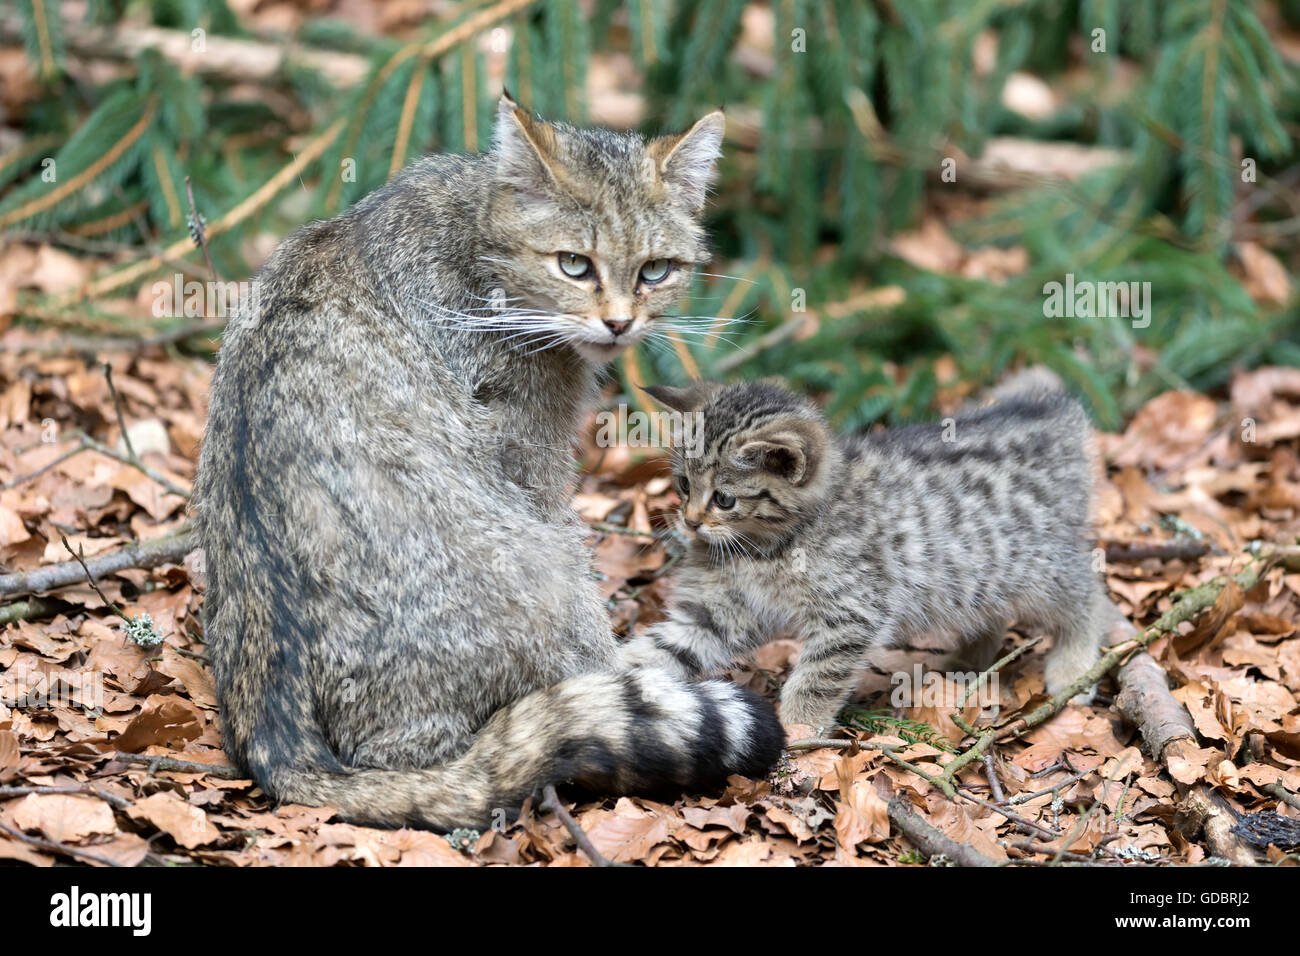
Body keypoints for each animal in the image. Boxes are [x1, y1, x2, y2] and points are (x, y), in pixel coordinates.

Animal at [192, 95, 780, 832]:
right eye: (574, 264)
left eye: (655, 270)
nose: (620, 323)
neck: (477, 230)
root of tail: (276, 741)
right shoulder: (532, 468)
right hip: (539, 579)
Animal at [616, 382, 1118, 733]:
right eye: (683, 485)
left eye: (724, 498)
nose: (690, 522)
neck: (764, 546)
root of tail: (1055, 420)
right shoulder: (713, 612)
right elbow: (662, 647)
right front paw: (607, 684)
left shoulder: (854, 610)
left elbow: (818, 674)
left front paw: (798, 728)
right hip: (976, 573)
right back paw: (968, 663)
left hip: (1029, 564)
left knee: (1087, 593)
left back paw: (1074, 663)